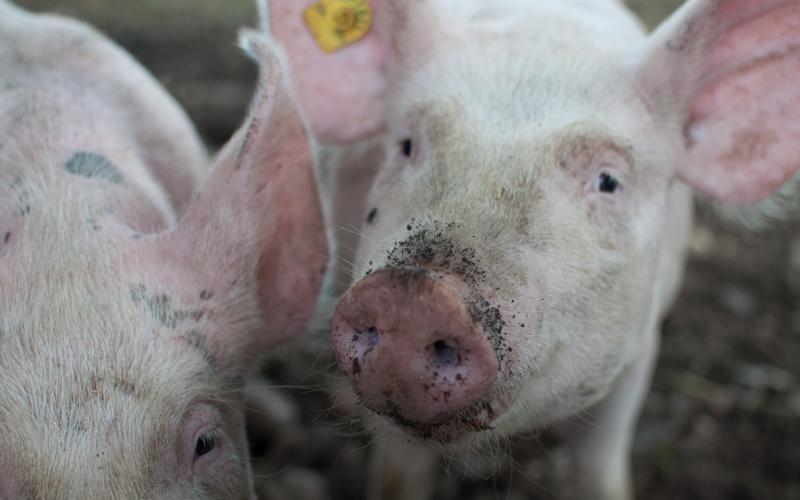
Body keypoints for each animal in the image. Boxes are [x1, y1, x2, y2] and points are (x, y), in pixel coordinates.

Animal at [261, 0, 800, 498]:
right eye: (407, 145)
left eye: (608, 180)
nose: (413, 294)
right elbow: (398, 475)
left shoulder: (641, 346)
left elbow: (599, 468)